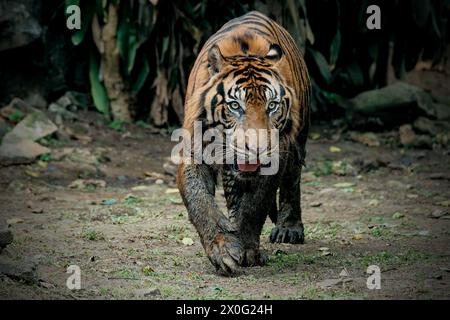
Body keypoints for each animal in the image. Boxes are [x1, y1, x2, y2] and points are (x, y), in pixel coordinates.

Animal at [176, 11, 310, 274]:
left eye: (272, 105)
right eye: (235, 106)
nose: (257, 149)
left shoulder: (278, 154)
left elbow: (255, 205)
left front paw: (247, 249)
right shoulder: (193, 150)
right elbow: (201, 202)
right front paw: (223, 248)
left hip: (299, 139)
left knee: (292, 181)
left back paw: (289, 228)